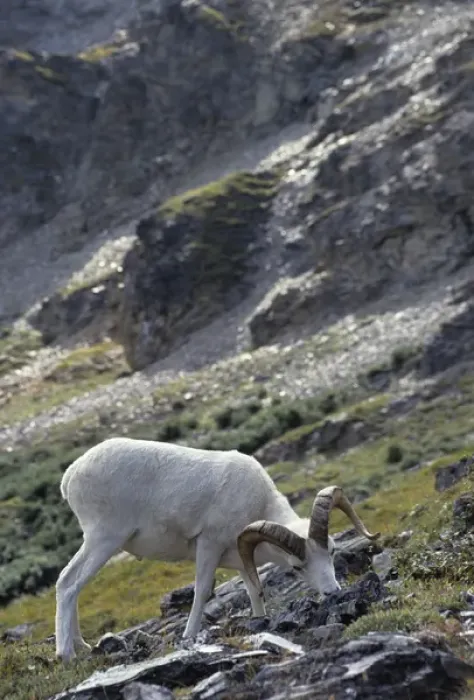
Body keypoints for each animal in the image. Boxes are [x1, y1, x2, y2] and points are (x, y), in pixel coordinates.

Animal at [55, 436, 380, 662]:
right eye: (298, 567)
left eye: (332, 551)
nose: (333, 593)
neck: (256, 501)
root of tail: (71, 475)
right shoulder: (208, 546)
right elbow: (201, 592)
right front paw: (188, 638)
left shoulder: (242, 559)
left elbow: (255, 591)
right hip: (104, 540)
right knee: (68, 584)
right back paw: (66, 655)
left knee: (71, 585)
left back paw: (82, 646)